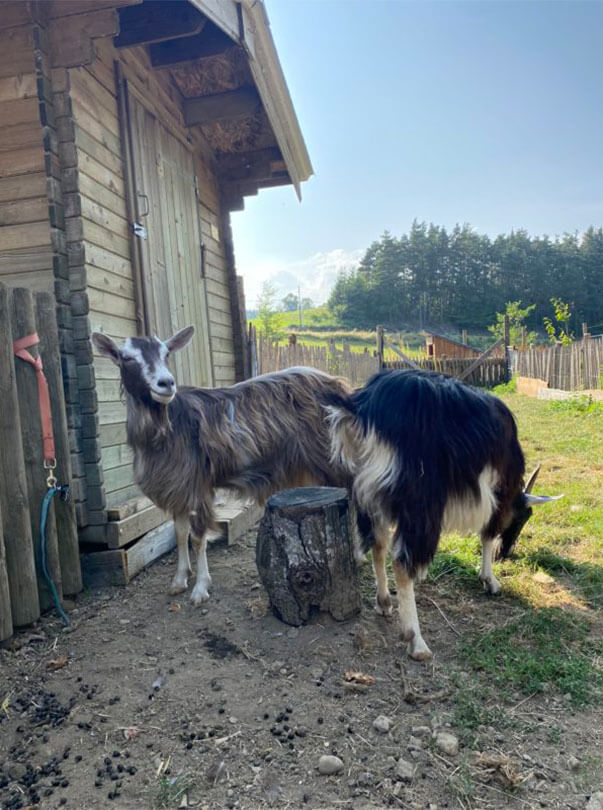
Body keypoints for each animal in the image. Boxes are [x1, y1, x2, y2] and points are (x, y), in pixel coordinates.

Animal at [92, 326, 352, 604]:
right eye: (126, 357)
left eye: (166, 354)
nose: (166, 383)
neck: (166, 428)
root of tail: (339, 385)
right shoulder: (177, 487)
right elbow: (180, 533)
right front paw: (179, 580)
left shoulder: (197, 486)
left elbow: (198, 537)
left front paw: (200, 589)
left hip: (332, 457)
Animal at [330, 366, 560, 656]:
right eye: (523, 519)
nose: (506, 554)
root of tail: (364, 410)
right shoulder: (497, 495)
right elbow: (487, 535)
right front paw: (490, 580)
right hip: (420, 500)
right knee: (400, 560)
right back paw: (416, 640)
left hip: (367, 495)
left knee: (378, 545)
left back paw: (384, 602)